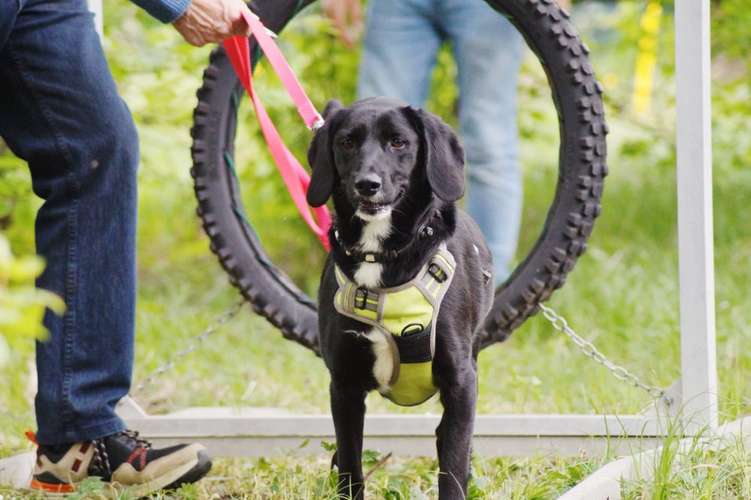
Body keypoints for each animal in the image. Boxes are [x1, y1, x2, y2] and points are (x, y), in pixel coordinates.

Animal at [306, 97, 494, 500]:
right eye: (346, 142)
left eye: (398, 142)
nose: (367, 184)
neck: (380, 256)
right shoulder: (343, 385)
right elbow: (351, 465)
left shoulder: (461, 382)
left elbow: (453, 467)